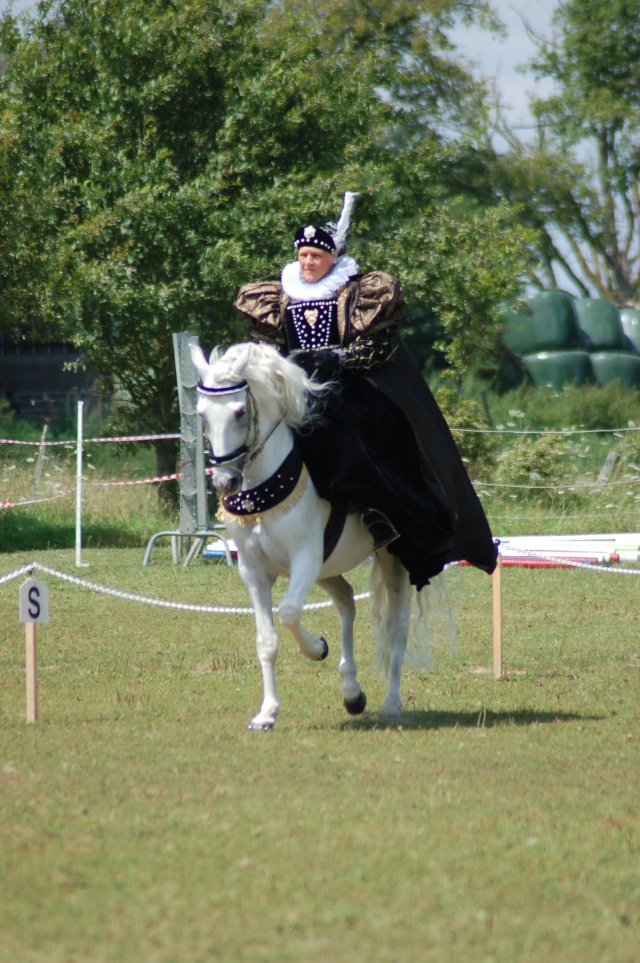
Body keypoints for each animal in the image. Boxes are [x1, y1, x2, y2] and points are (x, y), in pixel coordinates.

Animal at [190, 342, 420, 728]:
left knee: (396, 627)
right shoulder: (253, 571)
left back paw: (391, 704)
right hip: (328, 568)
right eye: (202, 414)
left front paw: (316, 648)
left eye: (240, 412)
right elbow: (266, 641)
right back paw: (352, 693)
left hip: (392, 557)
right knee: (345, 600)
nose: (225, 482)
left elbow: (289, 612)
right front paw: (267, 713)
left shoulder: (306, 558)